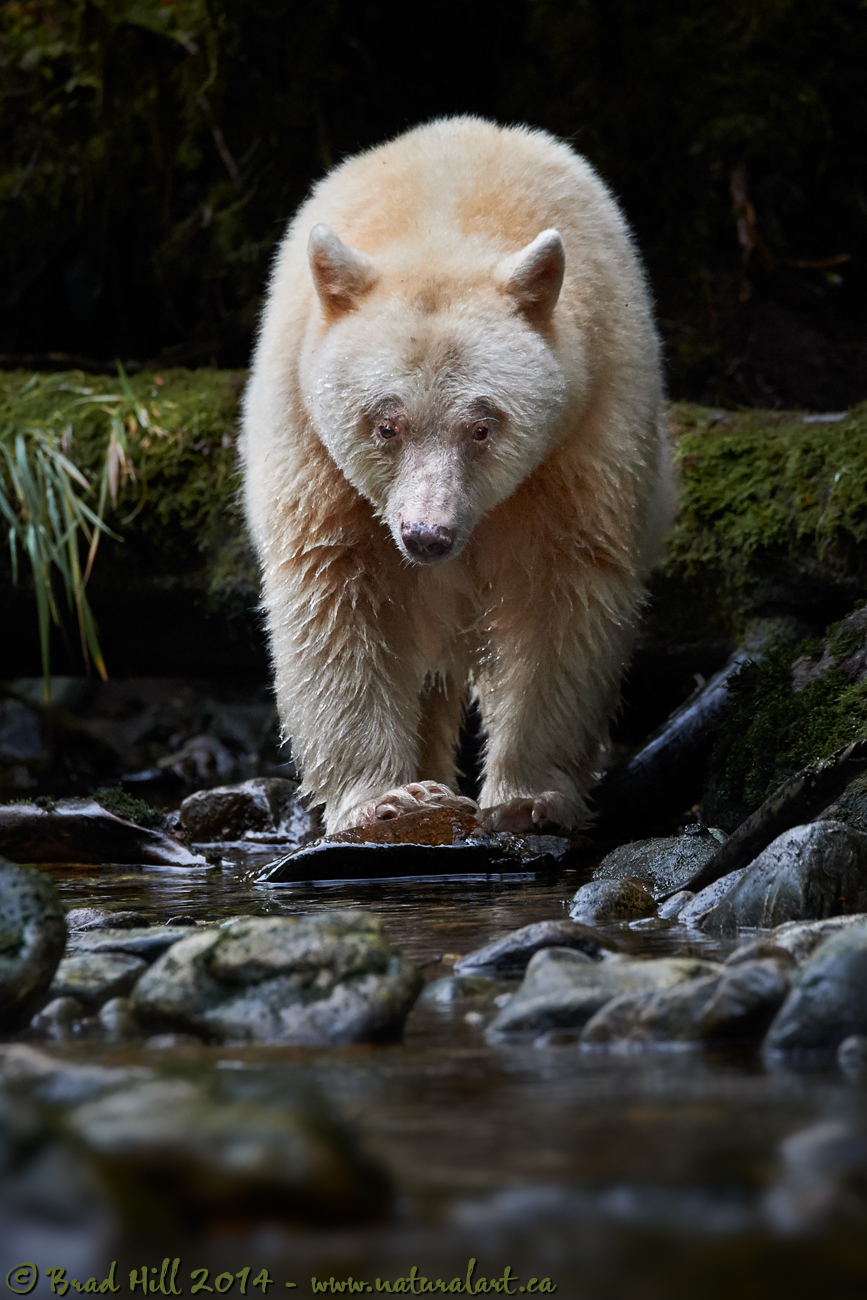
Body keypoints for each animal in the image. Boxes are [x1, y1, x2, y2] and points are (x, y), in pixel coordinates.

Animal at [240, 119, 675, 832]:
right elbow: (334, 595)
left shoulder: (587, 427)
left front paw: (528, 798)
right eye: (385, 425)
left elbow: (565, 595)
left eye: (481, 427)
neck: (441, 223)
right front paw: (385, 798)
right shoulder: (310, 445)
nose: (427, 536)